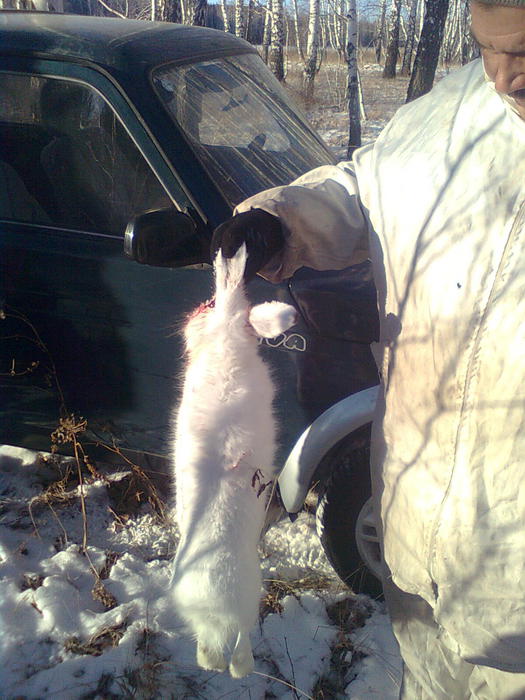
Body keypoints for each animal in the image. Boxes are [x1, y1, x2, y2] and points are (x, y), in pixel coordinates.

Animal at [171, 243, 297, 678]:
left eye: (207, 308)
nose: (193, 311)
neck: (226, 340)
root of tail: (218, 610)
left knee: (226, 648)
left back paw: (222, 667)